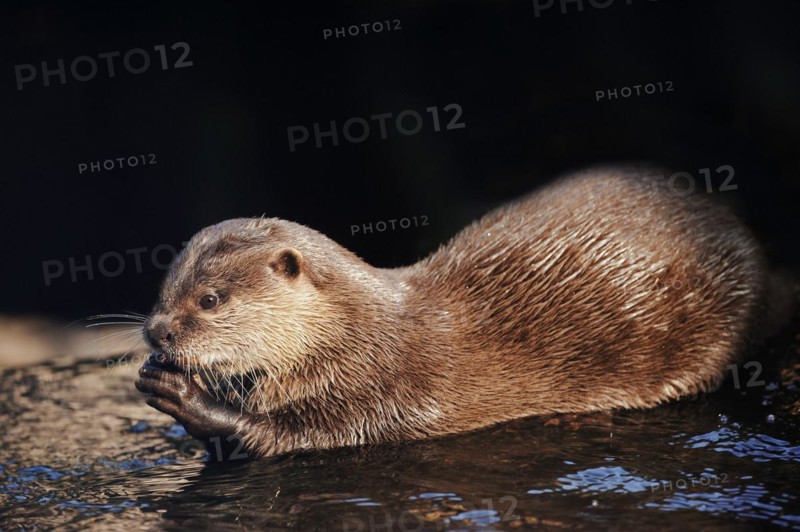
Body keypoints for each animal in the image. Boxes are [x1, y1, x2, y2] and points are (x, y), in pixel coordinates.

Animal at [136, 167, 785, 459]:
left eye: (210, 299)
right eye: (164, 289)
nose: (156, 331)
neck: (358, 335)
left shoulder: (380, 389)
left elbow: (294, 437)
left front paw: (189, 398)